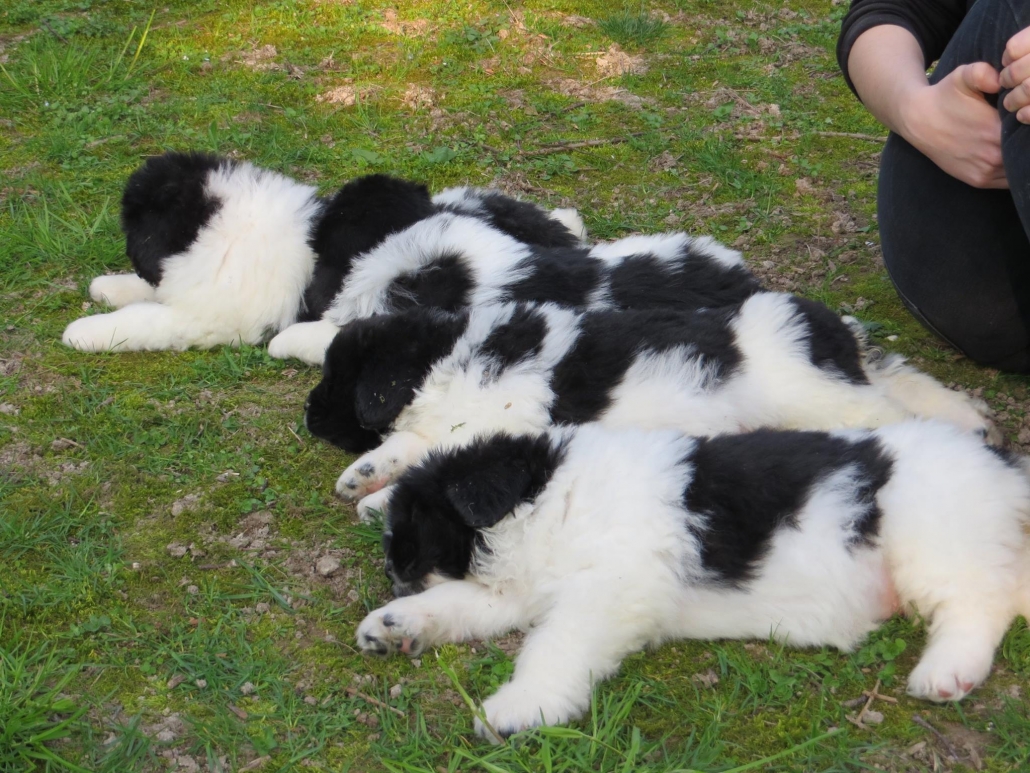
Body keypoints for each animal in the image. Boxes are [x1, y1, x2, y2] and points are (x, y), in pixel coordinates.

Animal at [60, 150, 585, 354]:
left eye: (133, 223)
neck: (221, 225)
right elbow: (145, 293)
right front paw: (108, 286)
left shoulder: (212, 318)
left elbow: (145, 318)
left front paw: (84, 331)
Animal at [302, 296, 988, 521]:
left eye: (337, 380)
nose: (307, 416)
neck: (439, 355)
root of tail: (835, 333)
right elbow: (407, 445)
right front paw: (363, 477)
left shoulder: (503, 425)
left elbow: (434, 461)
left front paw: (376, 500)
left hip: (823, 397)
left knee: (885, 413)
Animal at [356, 420, 1030, 742]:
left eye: (413, 531)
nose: (391, 573)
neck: (549, 497)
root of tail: (1004, 469)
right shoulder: (520, 589)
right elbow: (460, 600)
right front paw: (395, 626)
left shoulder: (609, 588)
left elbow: (554, 647)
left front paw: (522, 707)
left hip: (934, 534)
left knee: (980, 601)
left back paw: (946, 670)